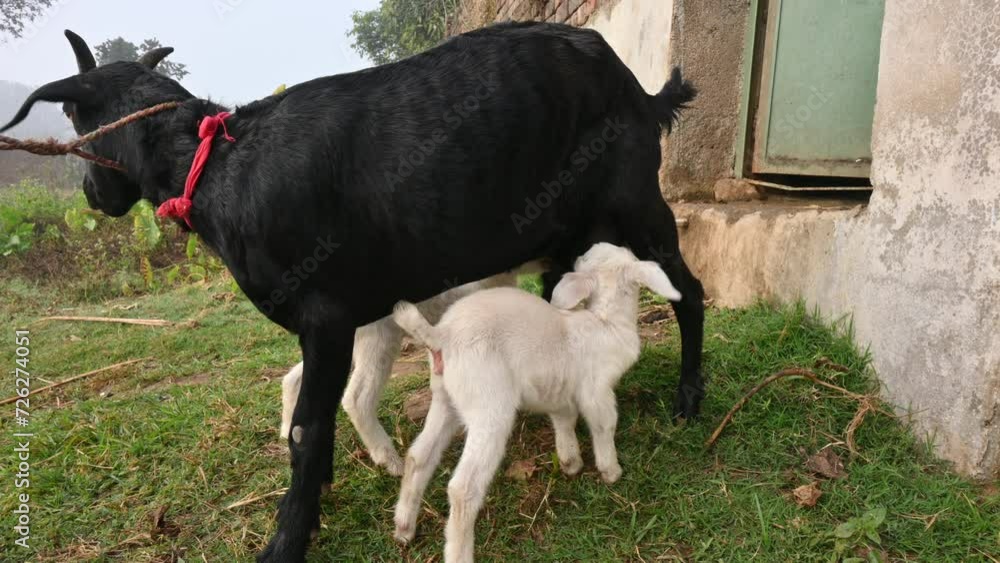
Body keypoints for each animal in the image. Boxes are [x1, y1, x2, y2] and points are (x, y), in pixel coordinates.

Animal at [391, 243, 682, 562]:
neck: (605, 321)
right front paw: (611, 470)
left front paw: (570, 462)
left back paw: (404, 527)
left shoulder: (559, 390)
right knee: (462, 488)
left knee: (419, 456)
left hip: (446, 398)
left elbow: (564, 420)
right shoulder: (596, 390)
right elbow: (604, 426)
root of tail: (442, 335)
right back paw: (459, 553)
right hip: (489, 406)